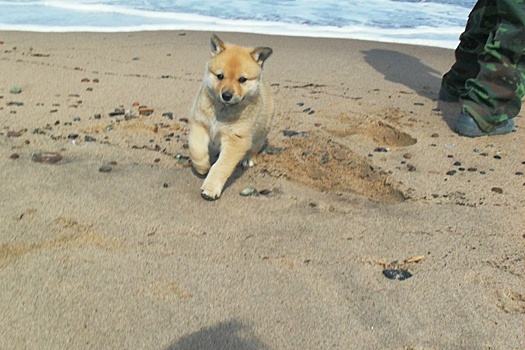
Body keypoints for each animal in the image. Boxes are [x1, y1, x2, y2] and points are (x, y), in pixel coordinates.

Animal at [190, 35, 276, 201]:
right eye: (220, 76)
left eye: (242, 79)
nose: (227, 95)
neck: (223, 110)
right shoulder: (200, 123)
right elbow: (196, 147)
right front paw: (202, 166)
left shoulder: (236, 140)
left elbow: (221, 166)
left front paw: (210, 188)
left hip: (262, 130)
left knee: (255, 146)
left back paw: (248, 159)